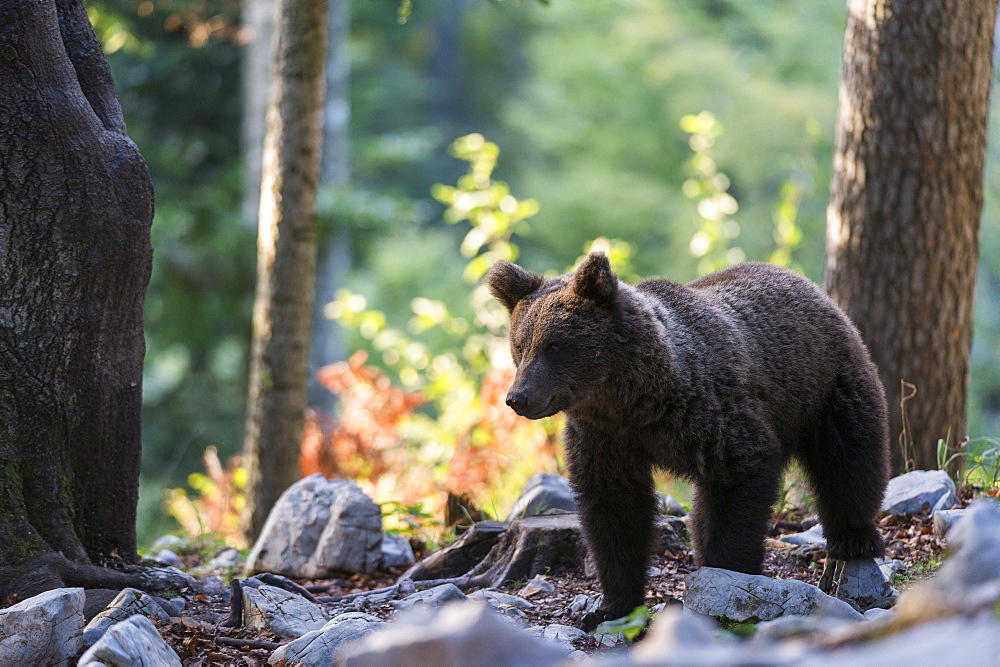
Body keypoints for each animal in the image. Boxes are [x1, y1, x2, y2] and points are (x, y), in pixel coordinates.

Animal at [488, 252, 888, 632]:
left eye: (555, 345)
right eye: (520, 345)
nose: (518, 397)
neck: (637, 399)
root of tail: (806, 283)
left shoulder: (713, 415)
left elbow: (739, 483)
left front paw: (727, 577)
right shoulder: (605, 436)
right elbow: (614, 509)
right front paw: (610, 607)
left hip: (825, 386)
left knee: (848, 459)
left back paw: (854, 538)